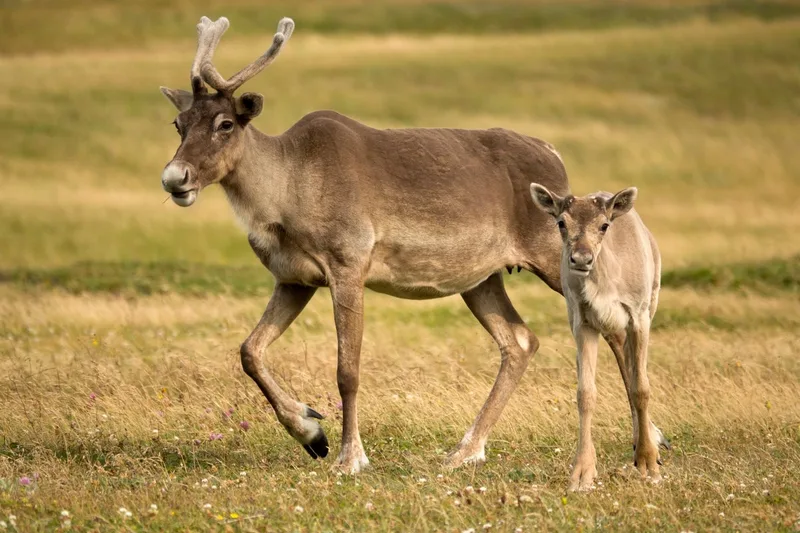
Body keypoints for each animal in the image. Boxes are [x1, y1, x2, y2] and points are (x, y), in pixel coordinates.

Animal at [529, 183, 668, 491]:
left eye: (604, 225)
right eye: (561, 222)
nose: (581, 259)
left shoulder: (639, 313)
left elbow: (642, 388)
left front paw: (649, 463)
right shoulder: (582, 321)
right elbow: (585, 393)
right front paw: (582, 474)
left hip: (652, 297)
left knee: (632, 370)